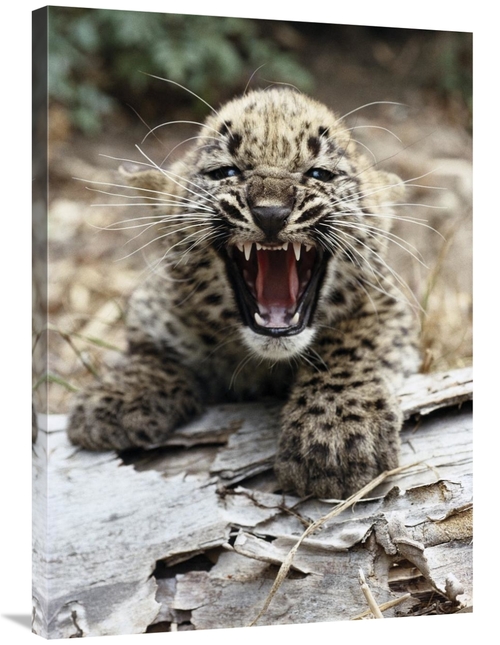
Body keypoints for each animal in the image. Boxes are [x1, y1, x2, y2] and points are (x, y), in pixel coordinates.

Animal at [67, 87, 421, 499]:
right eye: (226, 172)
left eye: (319, 174)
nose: (270, 213)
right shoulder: (155, 305)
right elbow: (155, 351)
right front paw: (113, 399)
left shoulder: (386, 304)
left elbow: (353, 345)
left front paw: (335, 439)